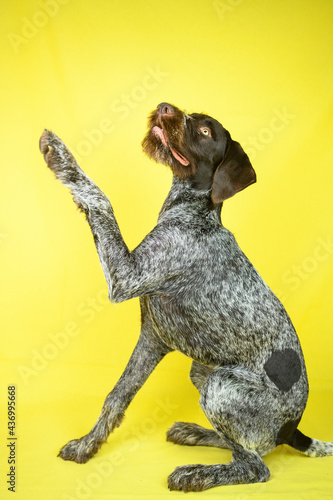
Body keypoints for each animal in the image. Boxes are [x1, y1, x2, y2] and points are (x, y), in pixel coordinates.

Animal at [39, 102, 332, 492]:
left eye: (205, 131)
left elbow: (100, 198)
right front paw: (88, 445)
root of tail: (292, 430)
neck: (193, 213)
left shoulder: (124, 275)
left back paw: (197, 473)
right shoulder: (152, 338)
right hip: (203, 371)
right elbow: (116, 396)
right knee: (243, 446)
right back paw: (195, 432)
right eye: (189, 114)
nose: (165, 107)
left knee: (254, 466)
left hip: (222, 386)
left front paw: (61, 158)